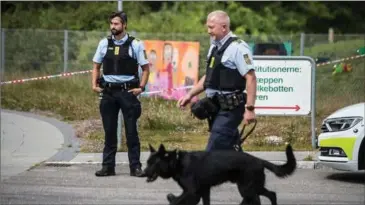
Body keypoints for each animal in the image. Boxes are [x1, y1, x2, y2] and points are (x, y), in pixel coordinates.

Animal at [141, 144, 296, 205]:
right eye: (147, 163)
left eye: (152, 163)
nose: (141, 173)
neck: (177, 162)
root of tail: (259, 160)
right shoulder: (204, 191)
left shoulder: (192, 192)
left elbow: (175, 201)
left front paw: (172, 199)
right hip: (252, 187)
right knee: (271, 194)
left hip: (247, 188)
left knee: (256, 200)